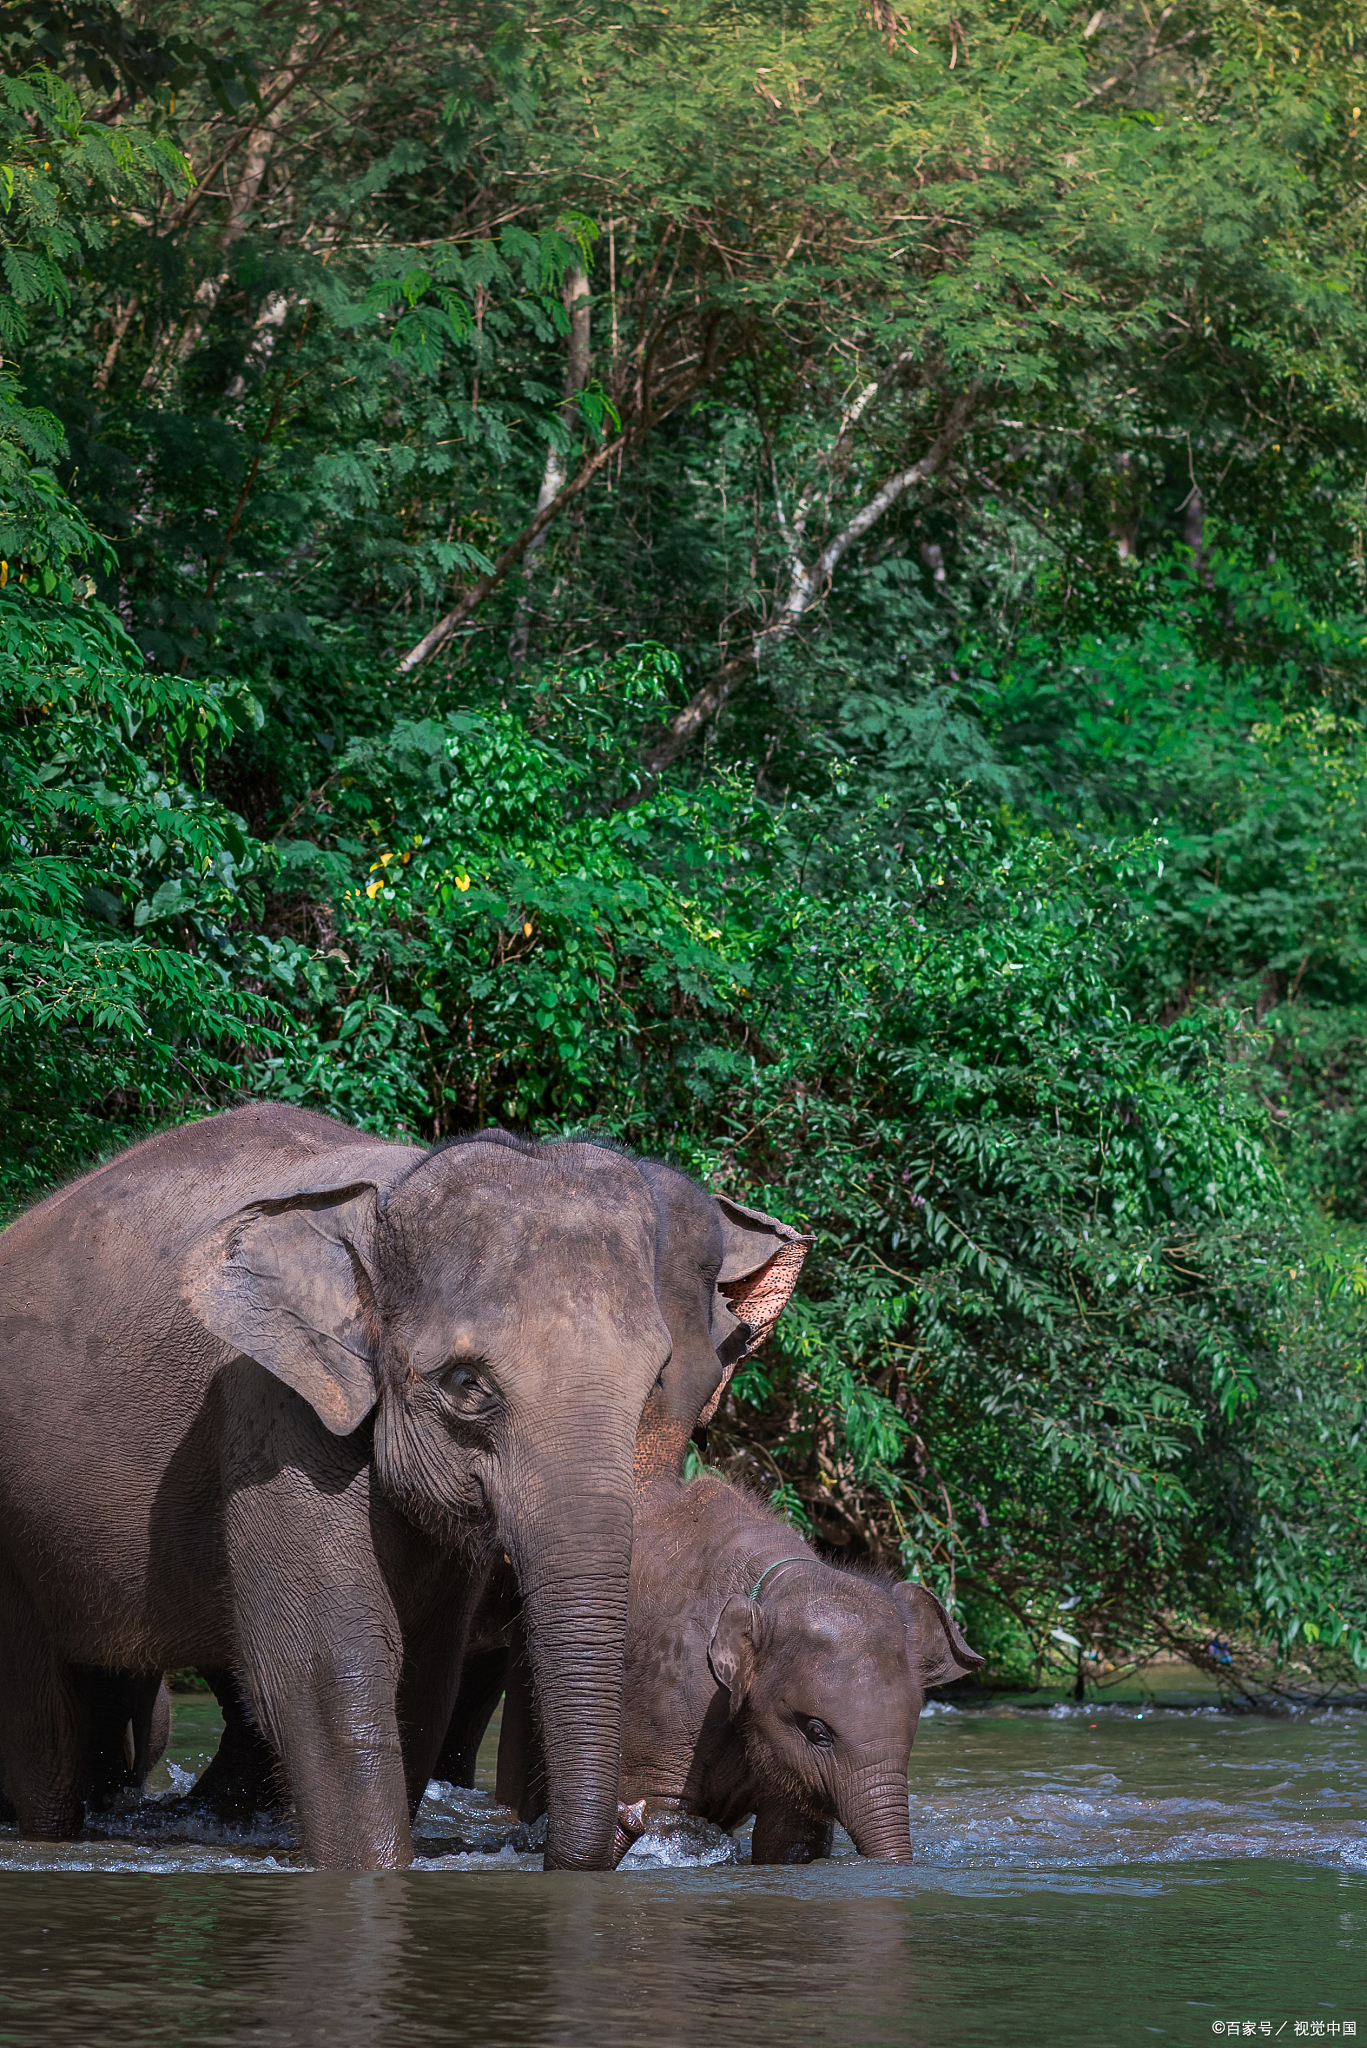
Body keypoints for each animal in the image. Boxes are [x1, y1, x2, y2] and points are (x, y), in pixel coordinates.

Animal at [0, 1103, 803, 1869]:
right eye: (467, 1384)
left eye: (658, 1382)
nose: (633, 1825)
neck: (392, 1189)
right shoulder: (272, 1410)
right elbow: (326, 1669)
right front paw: (372, 1869)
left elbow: (424, 1681)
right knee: (45, 1731)